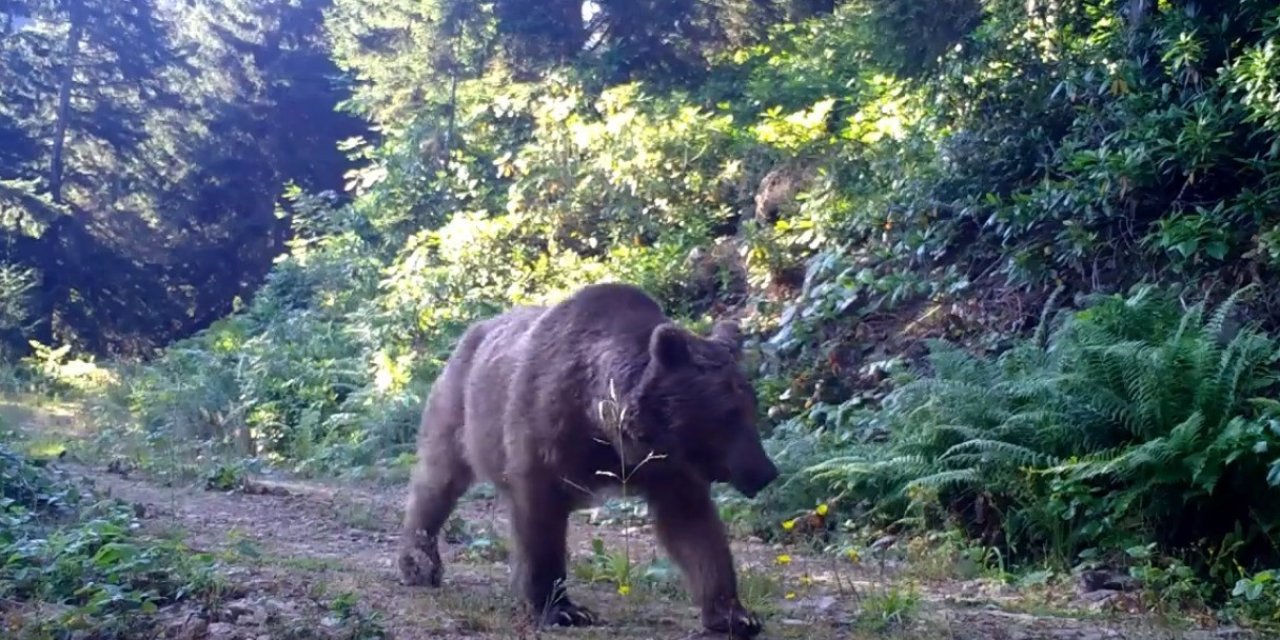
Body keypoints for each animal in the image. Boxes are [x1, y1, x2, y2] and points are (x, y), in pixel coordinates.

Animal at [399, 282, 778, 637]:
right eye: (728, 414)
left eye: (750, 407)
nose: (765, 472)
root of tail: (473, 331)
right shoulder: (544, 433)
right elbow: (540, 521)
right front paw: (561, 608)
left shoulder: (667, 466)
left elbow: (695, 528)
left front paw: (734, 615)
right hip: (460, 406)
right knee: (438, 479)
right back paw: (418, 563)